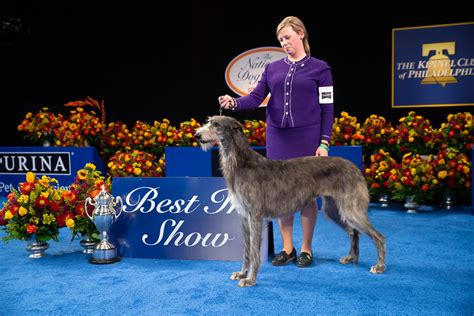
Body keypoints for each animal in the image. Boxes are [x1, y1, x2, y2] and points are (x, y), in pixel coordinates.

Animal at [195, 115, 386, 286]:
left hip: (351, 209)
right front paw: (242, 273)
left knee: (378, 236)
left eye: (216, 124)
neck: (241, 163)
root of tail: (356, 167)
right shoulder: (243, 217)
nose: (197, 135)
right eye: (208, 121)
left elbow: (255, 252)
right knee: (354, 232)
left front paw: (250, 279)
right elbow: (246, 250)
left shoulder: (255, 216)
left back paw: (379, 266)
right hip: (334, 209)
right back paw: (351, 257)